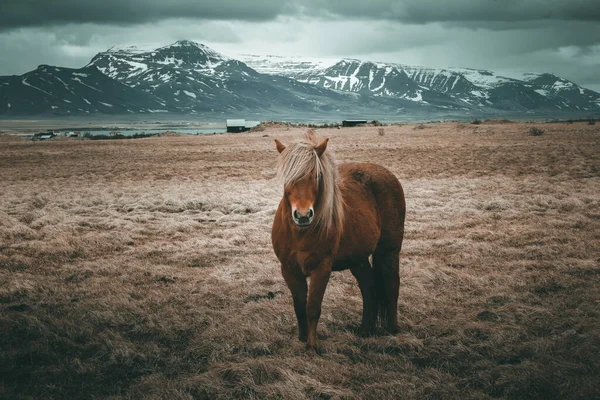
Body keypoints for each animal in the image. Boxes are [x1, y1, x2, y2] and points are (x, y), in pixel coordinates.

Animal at [274, 129, 406, 350]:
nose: (303, 215)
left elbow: (313, 308)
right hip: (358, 258)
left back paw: (393, 330)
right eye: (287, 177)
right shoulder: (289, 268)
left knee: (391, 284)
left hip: (389, 250)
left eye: (318, 175)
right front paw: (302, 338)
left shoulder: (322, 267)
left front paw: (312, 346)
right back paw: (365, 329)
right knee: (368, 286)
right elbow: (299, 306)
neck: (300, 233)